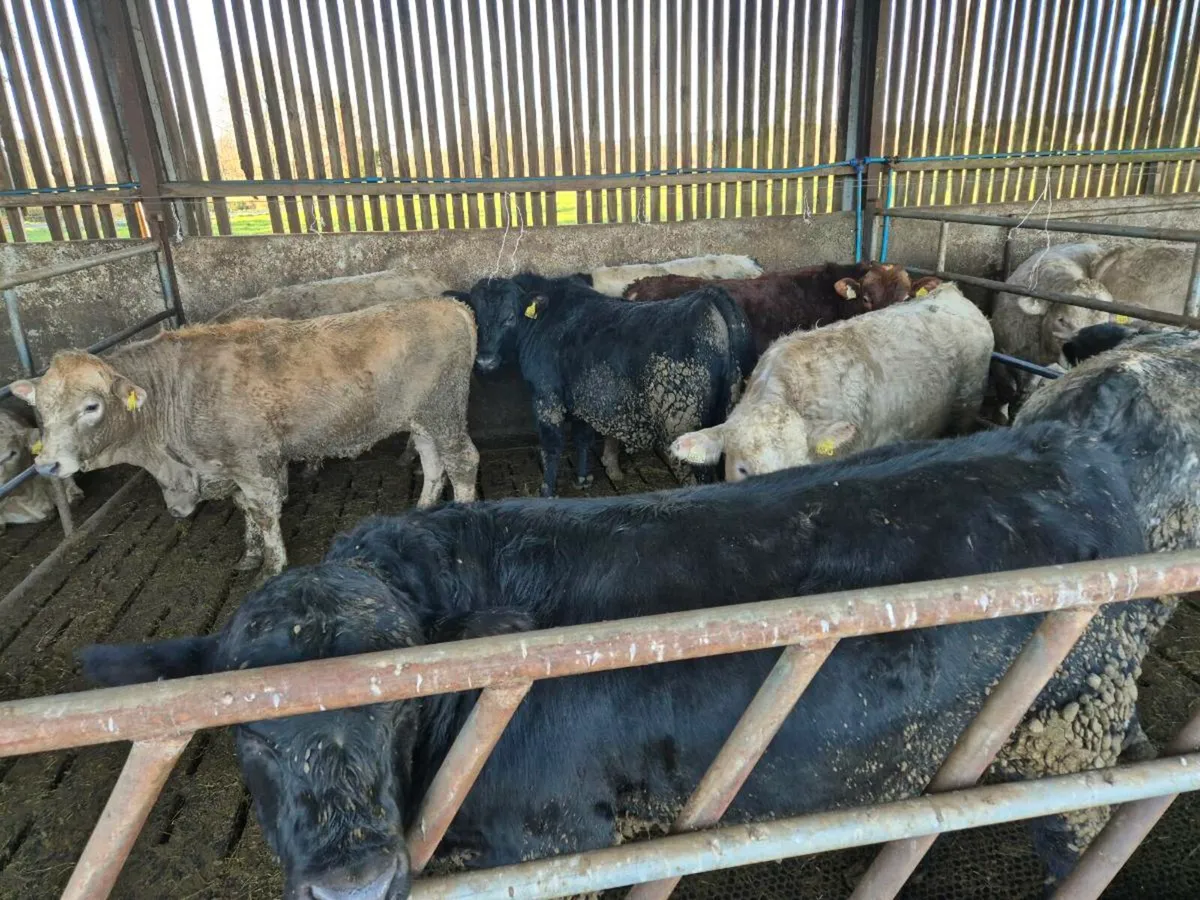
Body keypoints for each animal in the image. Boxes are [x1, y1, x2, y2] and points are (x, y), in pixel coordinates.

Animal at [9, 301, 479, 577]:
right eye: (41, 409)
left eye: (91, 406)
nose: (47, 464)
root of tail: (447, 304)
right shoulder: (228, 464)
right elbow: (246, 509)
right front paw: (250, 555)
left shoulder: (254, 462)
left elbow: (266, 511)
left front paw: (272, 565)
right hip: (422, 419)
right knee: (433, 461)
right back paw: (423, 509)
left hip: (444, 411)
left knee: (462, 462)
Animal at [80, 422, 1149, 899]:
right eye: (247, 730)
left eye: (397, 708)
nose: (355, 883)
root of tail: (1065, 450)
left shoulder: (559, 844)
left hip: (1068, 741)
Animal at [455, 273, 755, 496]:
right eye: (477, 317)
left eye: (509, 317)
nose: (485, 362)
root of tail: (706, 298)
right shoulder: (583, 398)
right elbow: (582, 436)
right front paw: (582, 479)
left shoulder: (546, 395)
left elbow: (552, 444)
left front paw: (547, 490)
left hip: (683, 422)